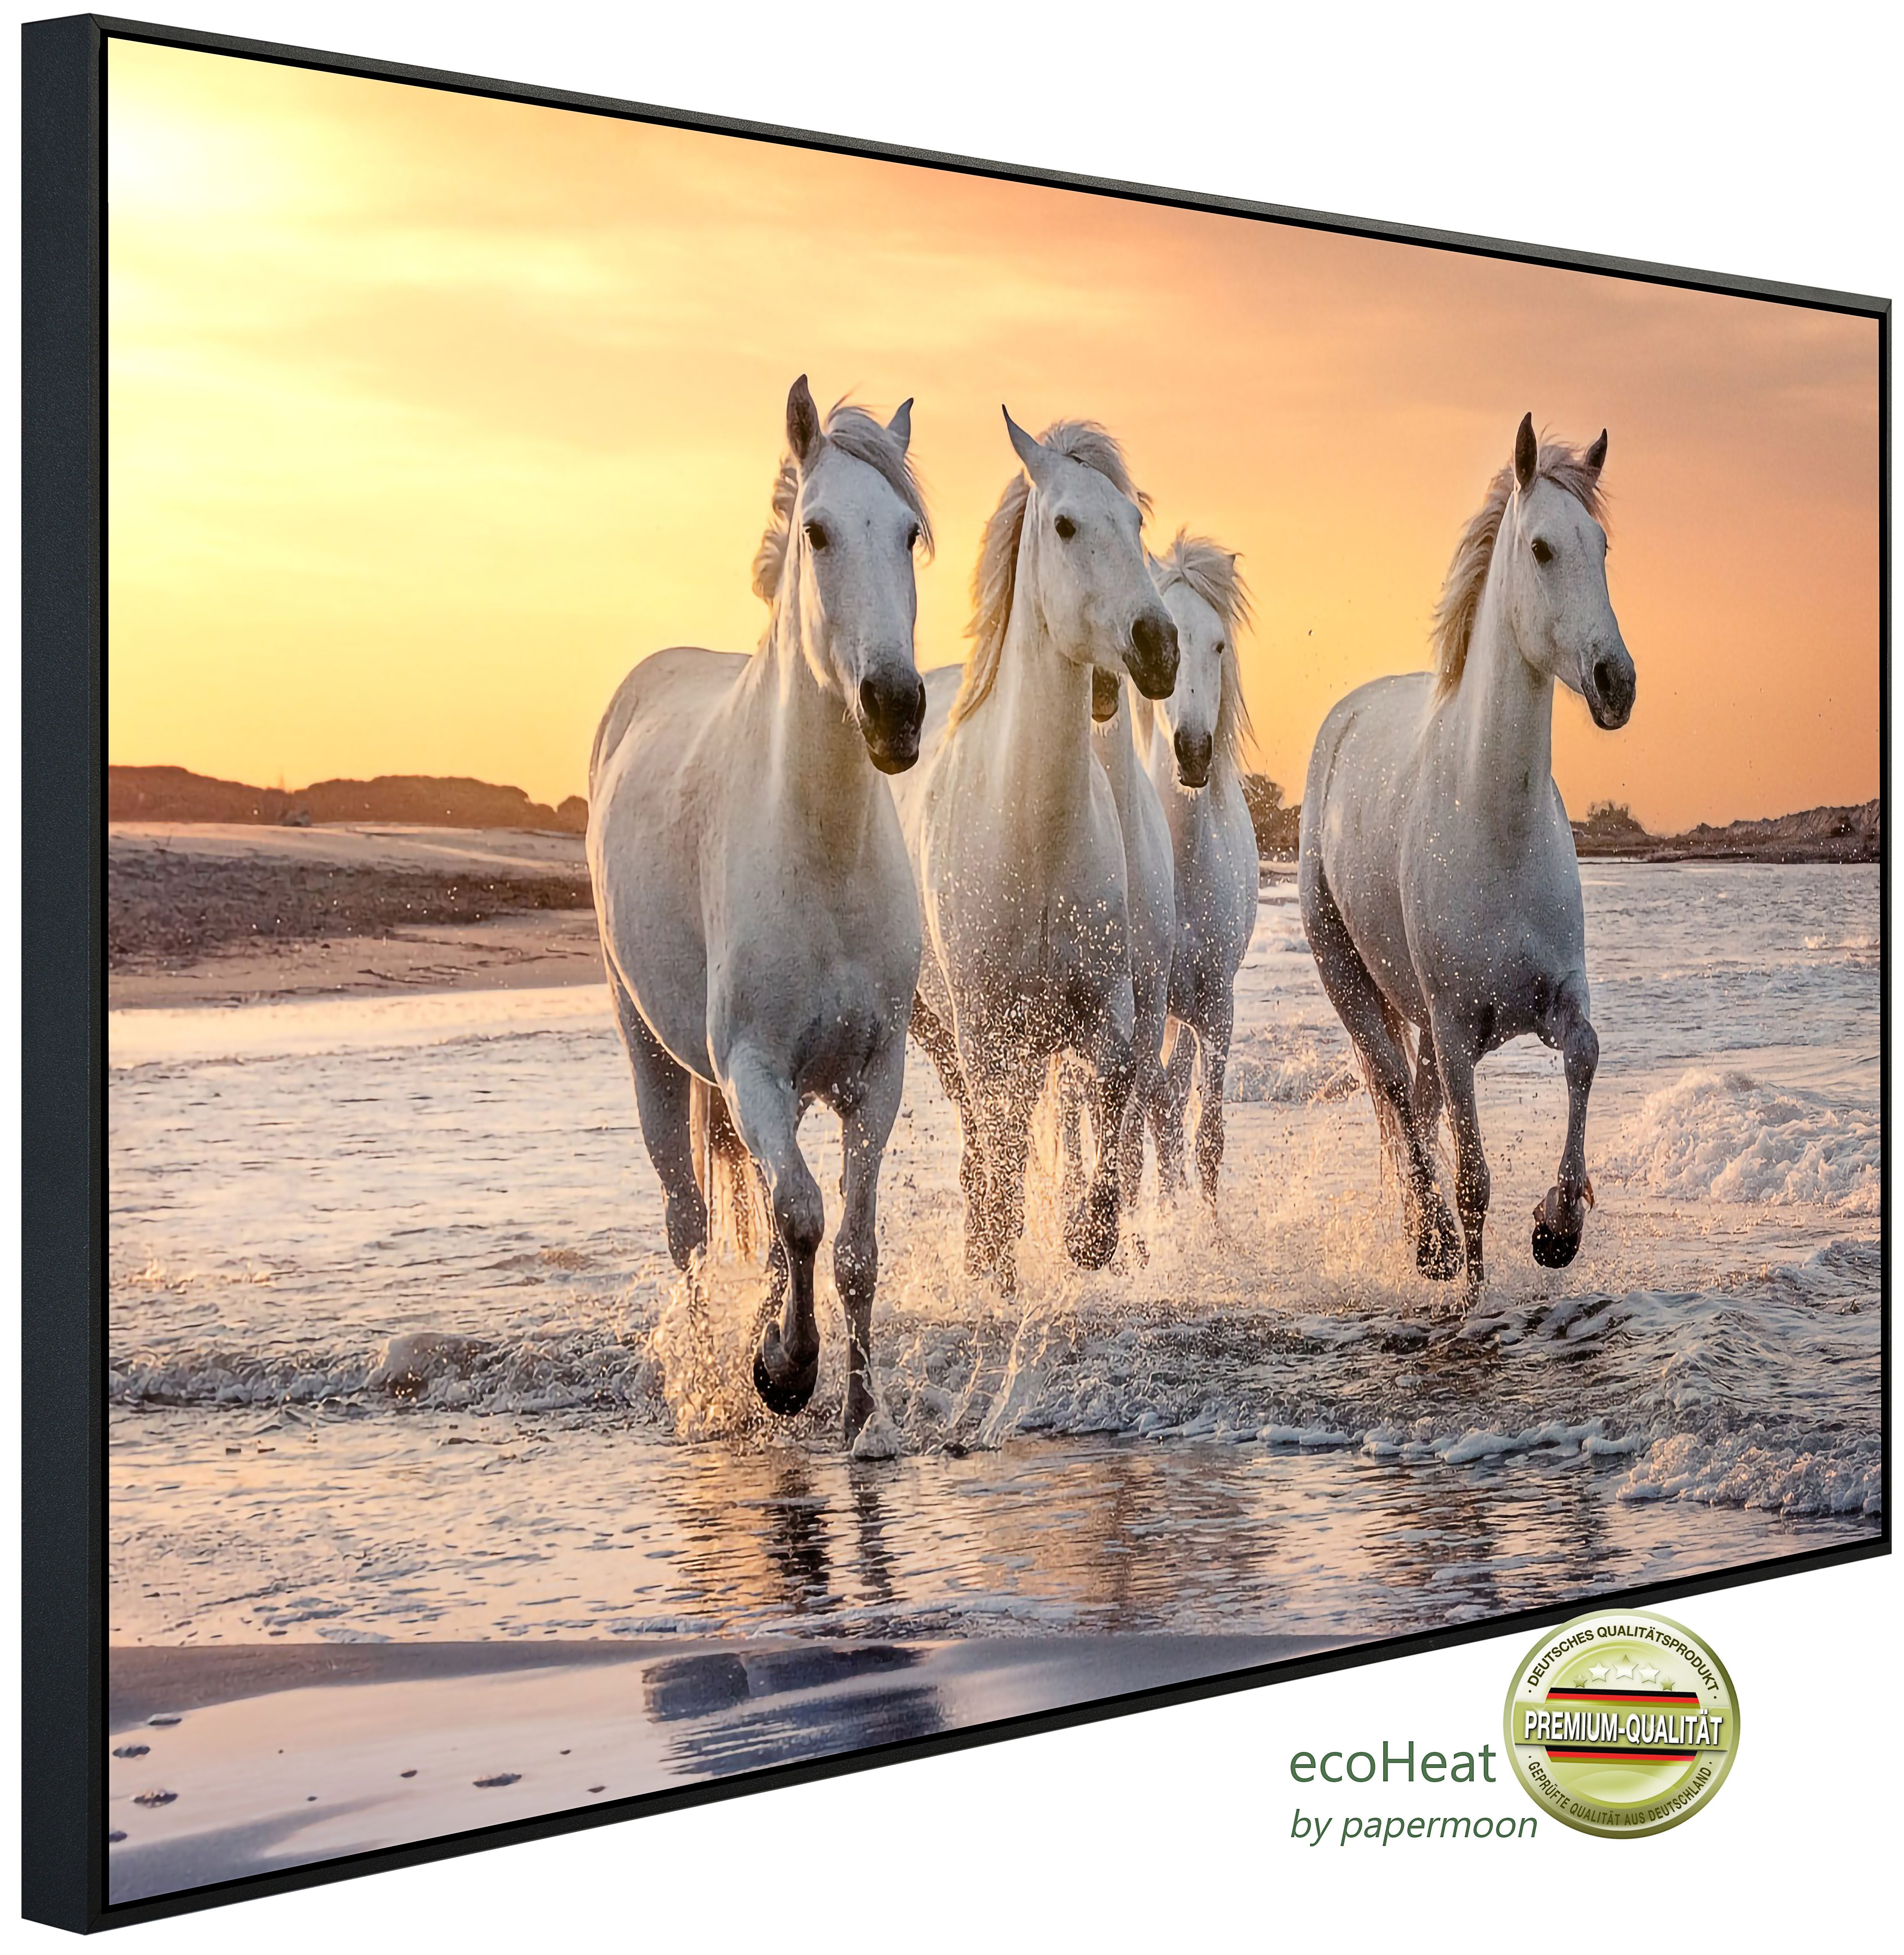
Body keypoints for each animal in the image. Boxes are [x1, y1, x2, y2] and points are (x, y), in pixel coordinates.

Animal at [587, 377, 931, 1446]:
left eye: (909, 532)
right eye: (817, 532)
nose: (895, 707)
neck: (818, 851)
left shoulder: (874, 1074)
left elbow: (849, 1244)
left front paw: (860, 1418)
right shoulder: (751, 1069)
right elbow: (803, 1218)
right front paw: (784, 1372)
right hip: (652, 1054)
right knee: (690, 1226)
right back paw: (709, 1382)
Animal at [895, 412, 1179, 1293]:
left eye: (1135, 524)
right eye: (1064, 525)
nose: (1158, 645)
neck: (1034, 836)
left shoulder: (1106, 1012)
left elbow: (1112, 1100)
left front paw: (1088, 1238)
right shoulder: (987, 1031)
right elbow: (1002, 1149)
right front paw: (997, 1262)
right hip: (939, 1029)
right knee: (983, 1142)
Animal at [1297, 414, 1636, 1291]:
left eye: (1600, 546)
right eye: (1541, 548)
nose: (1614, 682)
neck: (1494, 829)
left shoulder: (1557, 997)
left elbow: (1585, 1055)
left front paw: (1556, 1226)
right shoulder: (1454, 1030)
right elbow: (1474, 1178)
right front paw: (1475, 1283)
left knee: (1414, 1107)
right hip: (1352, 981)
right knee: (1396, 1096)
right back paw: (1431, 1246)